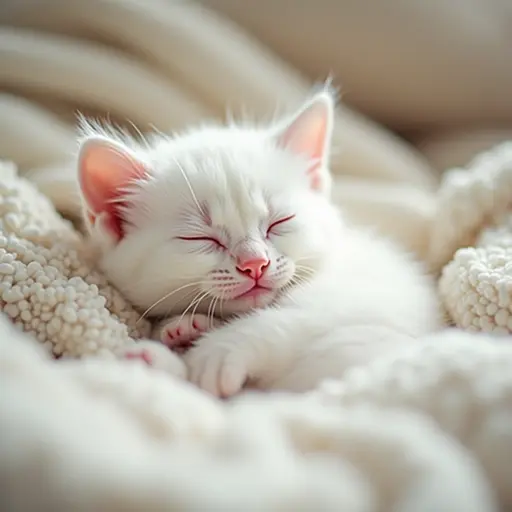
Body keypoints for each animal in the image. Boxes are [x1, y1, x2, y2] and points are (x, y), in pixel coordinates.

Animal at [76, 91, 440, 396]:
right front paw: (180, 333)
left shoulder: (370, 294)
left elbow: (291, 319)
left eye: (279, 222)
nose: (254, 263)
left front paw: (215, 351)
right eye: (200, 238)